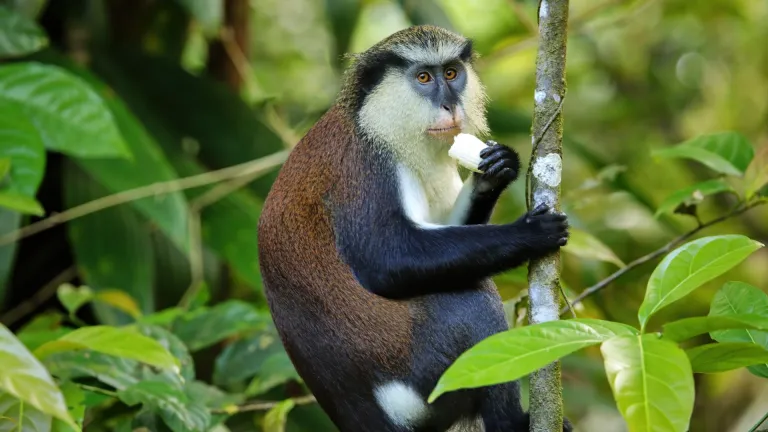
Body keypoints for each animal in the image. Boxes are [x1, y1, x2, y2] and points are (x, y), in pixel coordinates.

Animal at [258, 25, 568, 430]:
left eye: (451, 73)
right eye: (423, 78)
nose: (451, 105)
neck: (375, 121)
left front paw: (496, 170)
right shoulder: (365, 169)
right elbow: (388, 261)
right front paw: (531, 234)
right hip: (427, 380)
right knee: (470, 301)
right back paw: (512, 423)